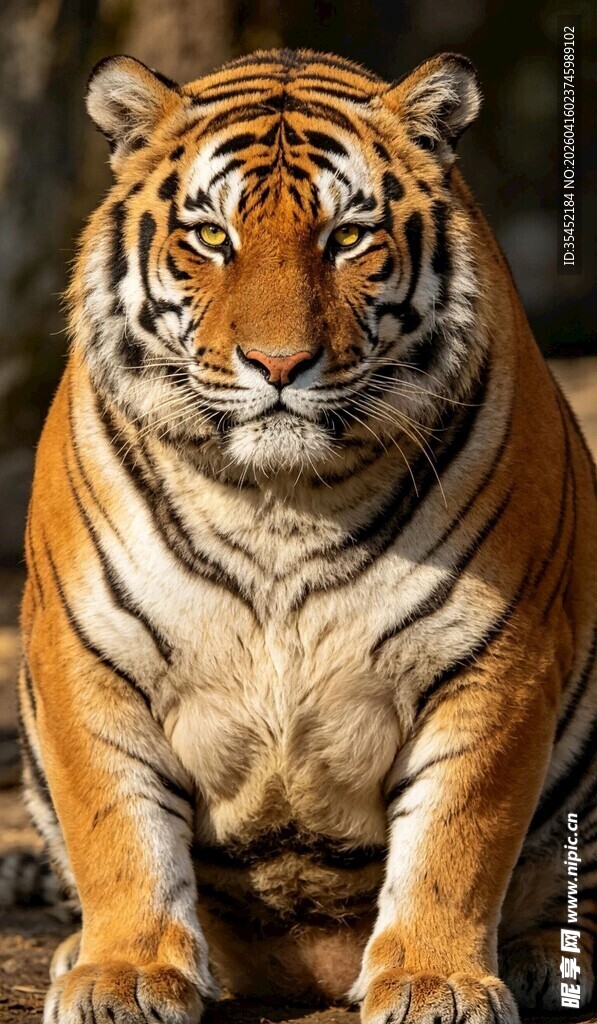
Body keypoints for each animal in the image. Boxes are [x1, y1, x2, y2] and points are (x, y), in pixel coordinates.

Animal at [19, 45, 597, 1024]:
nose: (279, 364)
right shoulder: (84, 645)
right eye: (212, 237)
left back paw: (538, 957)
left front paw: (435, 979)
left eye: (348, 238)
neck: (278, 499)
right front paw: (124, 973)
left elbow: (457, 835)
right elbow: (116, 826)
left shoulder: (498, 655)